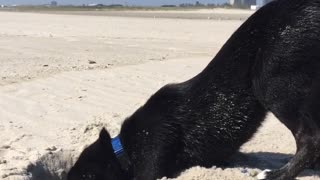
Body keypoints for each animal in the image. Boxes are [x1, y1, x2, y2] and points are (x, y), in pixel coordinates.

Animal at [68, 0, 320, 179]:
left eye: (86, 176)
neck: (124, 149)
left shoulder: (153, 155)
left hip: (271, 83)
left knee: (310, 140)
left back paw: (278, 174)